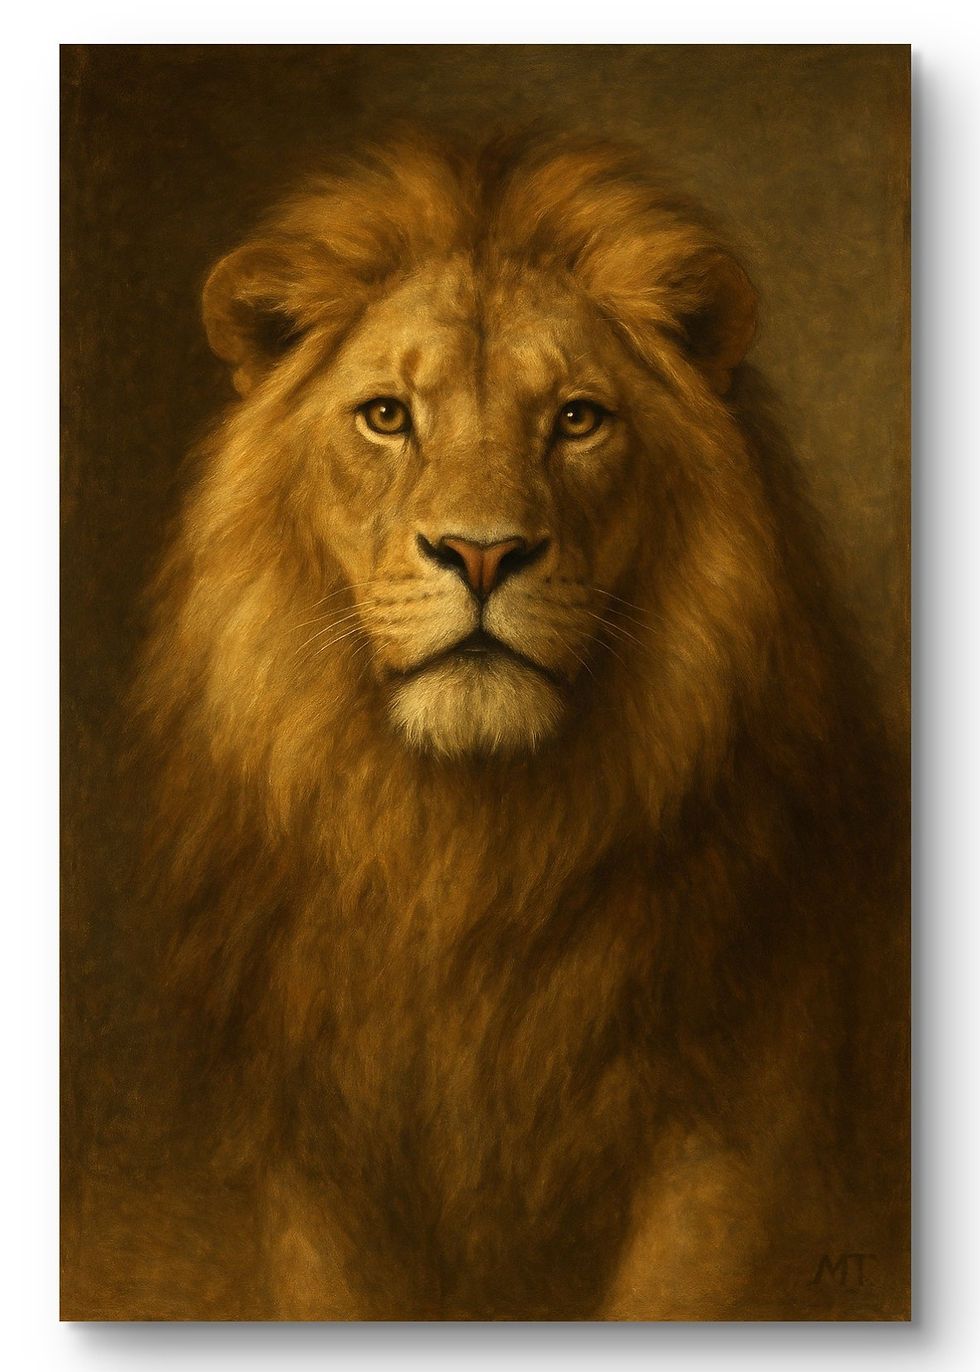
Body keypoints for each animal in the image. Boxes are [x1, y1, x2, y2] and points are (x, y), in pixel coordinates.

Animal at [129, 135, 908, 1321]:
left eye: (577, 418)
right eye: (388, 415)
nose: (483, 553)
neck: (466, 857)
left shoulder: (724, 1157)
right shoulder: (311, 1161)